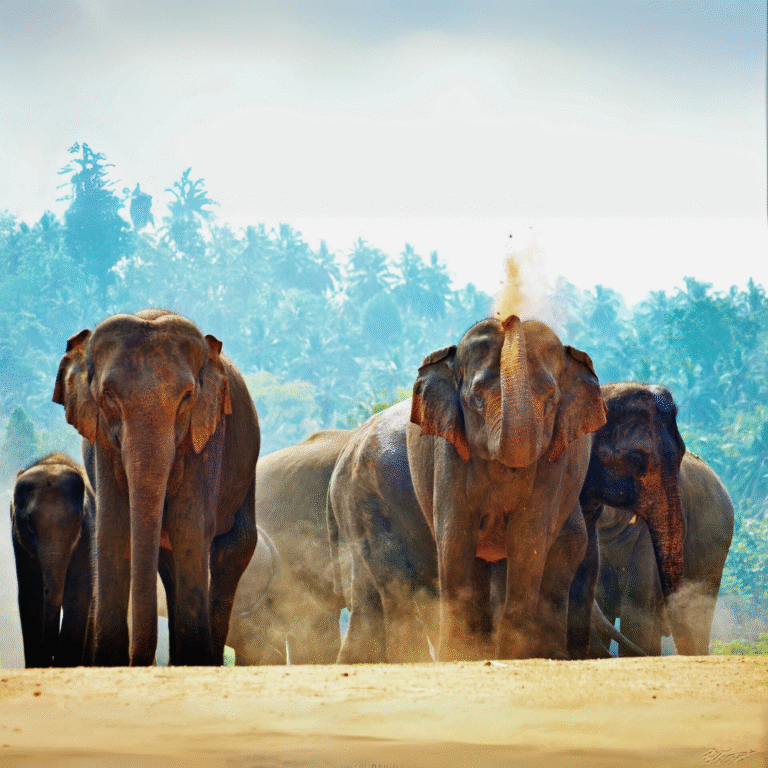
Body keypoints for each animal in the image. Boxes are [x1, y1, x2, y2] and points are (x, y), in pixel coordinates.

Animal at [11, 453, 95, 667]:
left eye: (78, 520)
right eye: (29, 523)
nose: (52, 655)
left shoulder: (88, 534)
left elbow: (78, 595)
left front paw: (65, 664)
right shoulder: (18, 541)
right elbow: (31, 597)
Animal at [53, 309, 260, 666]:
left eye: (187, 397)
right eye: (108, 396)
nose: (138, 662)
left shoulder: (207, 436)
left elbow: (189, 526)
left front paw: (196, 661)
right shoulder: (102, 443)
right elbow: (113, 528)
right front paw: (109, 662)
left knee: (233, 547)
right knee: (168, 559)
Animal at [329, 315, 609, 662]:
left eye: (551, 401)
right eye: (476, 399)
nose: (509, 318)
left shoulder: (555, 460)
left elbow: (529, 538)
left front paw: (513, 655)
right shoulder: (448, 450)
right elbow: (455, 535)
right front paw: (457, 654)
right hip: (368, 498)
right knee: (393, 575)